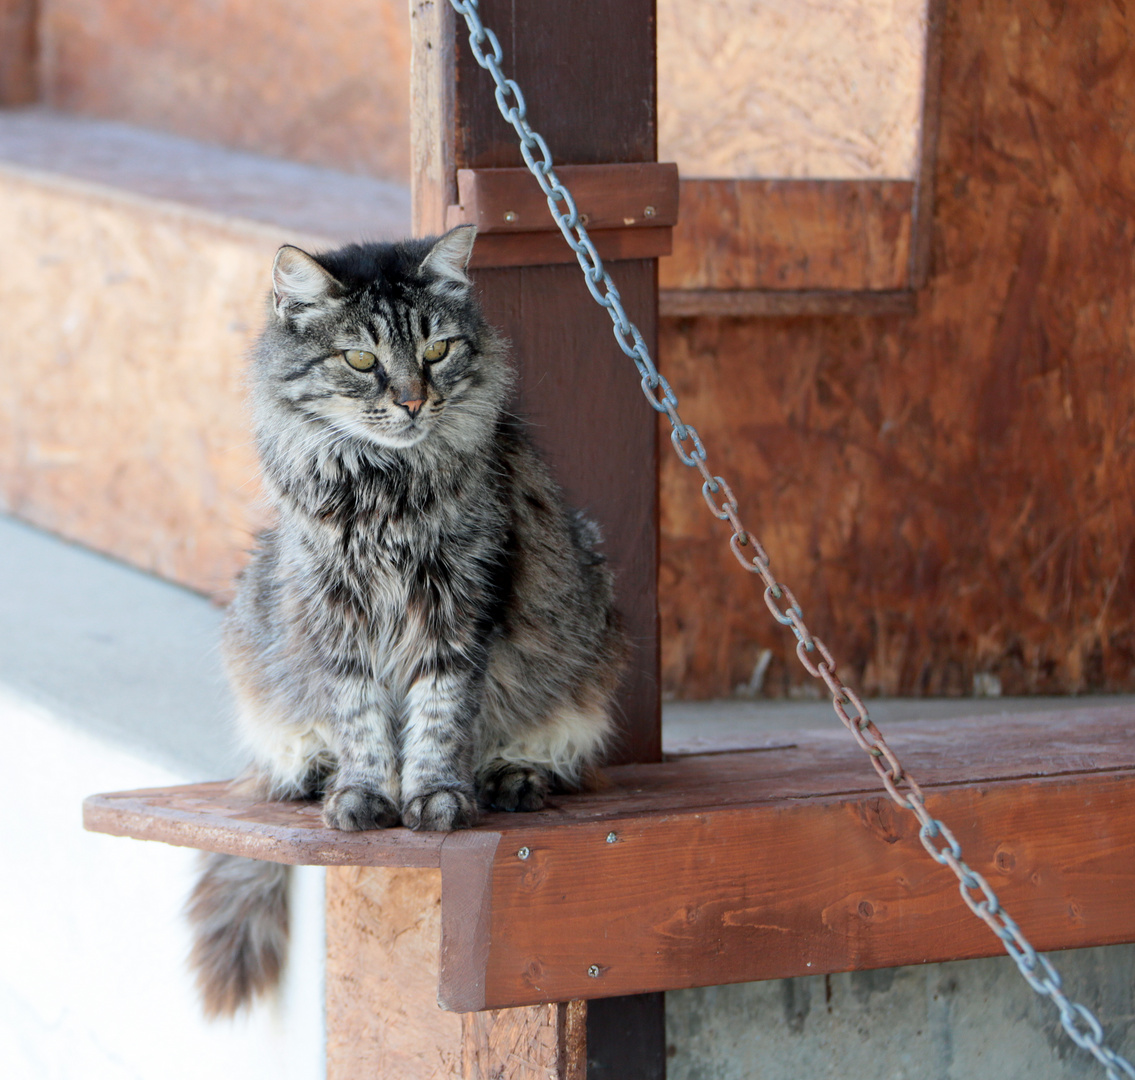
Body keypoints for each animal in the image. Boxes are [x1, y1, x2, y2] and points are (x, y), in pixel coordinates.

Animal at [189, 225, 626, 1011]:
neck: (380, 490)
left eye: (437, 350)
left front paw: (435, 797)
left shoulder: (460, 607)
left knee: (558, 748)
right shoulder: (338, 613)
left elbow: (439, 716)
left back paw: (511, 776)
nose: (415, 402)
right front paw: (365, 792)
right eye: (361, 360)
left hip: (591, 650)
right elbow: (361, 717)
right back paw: (316, 772)